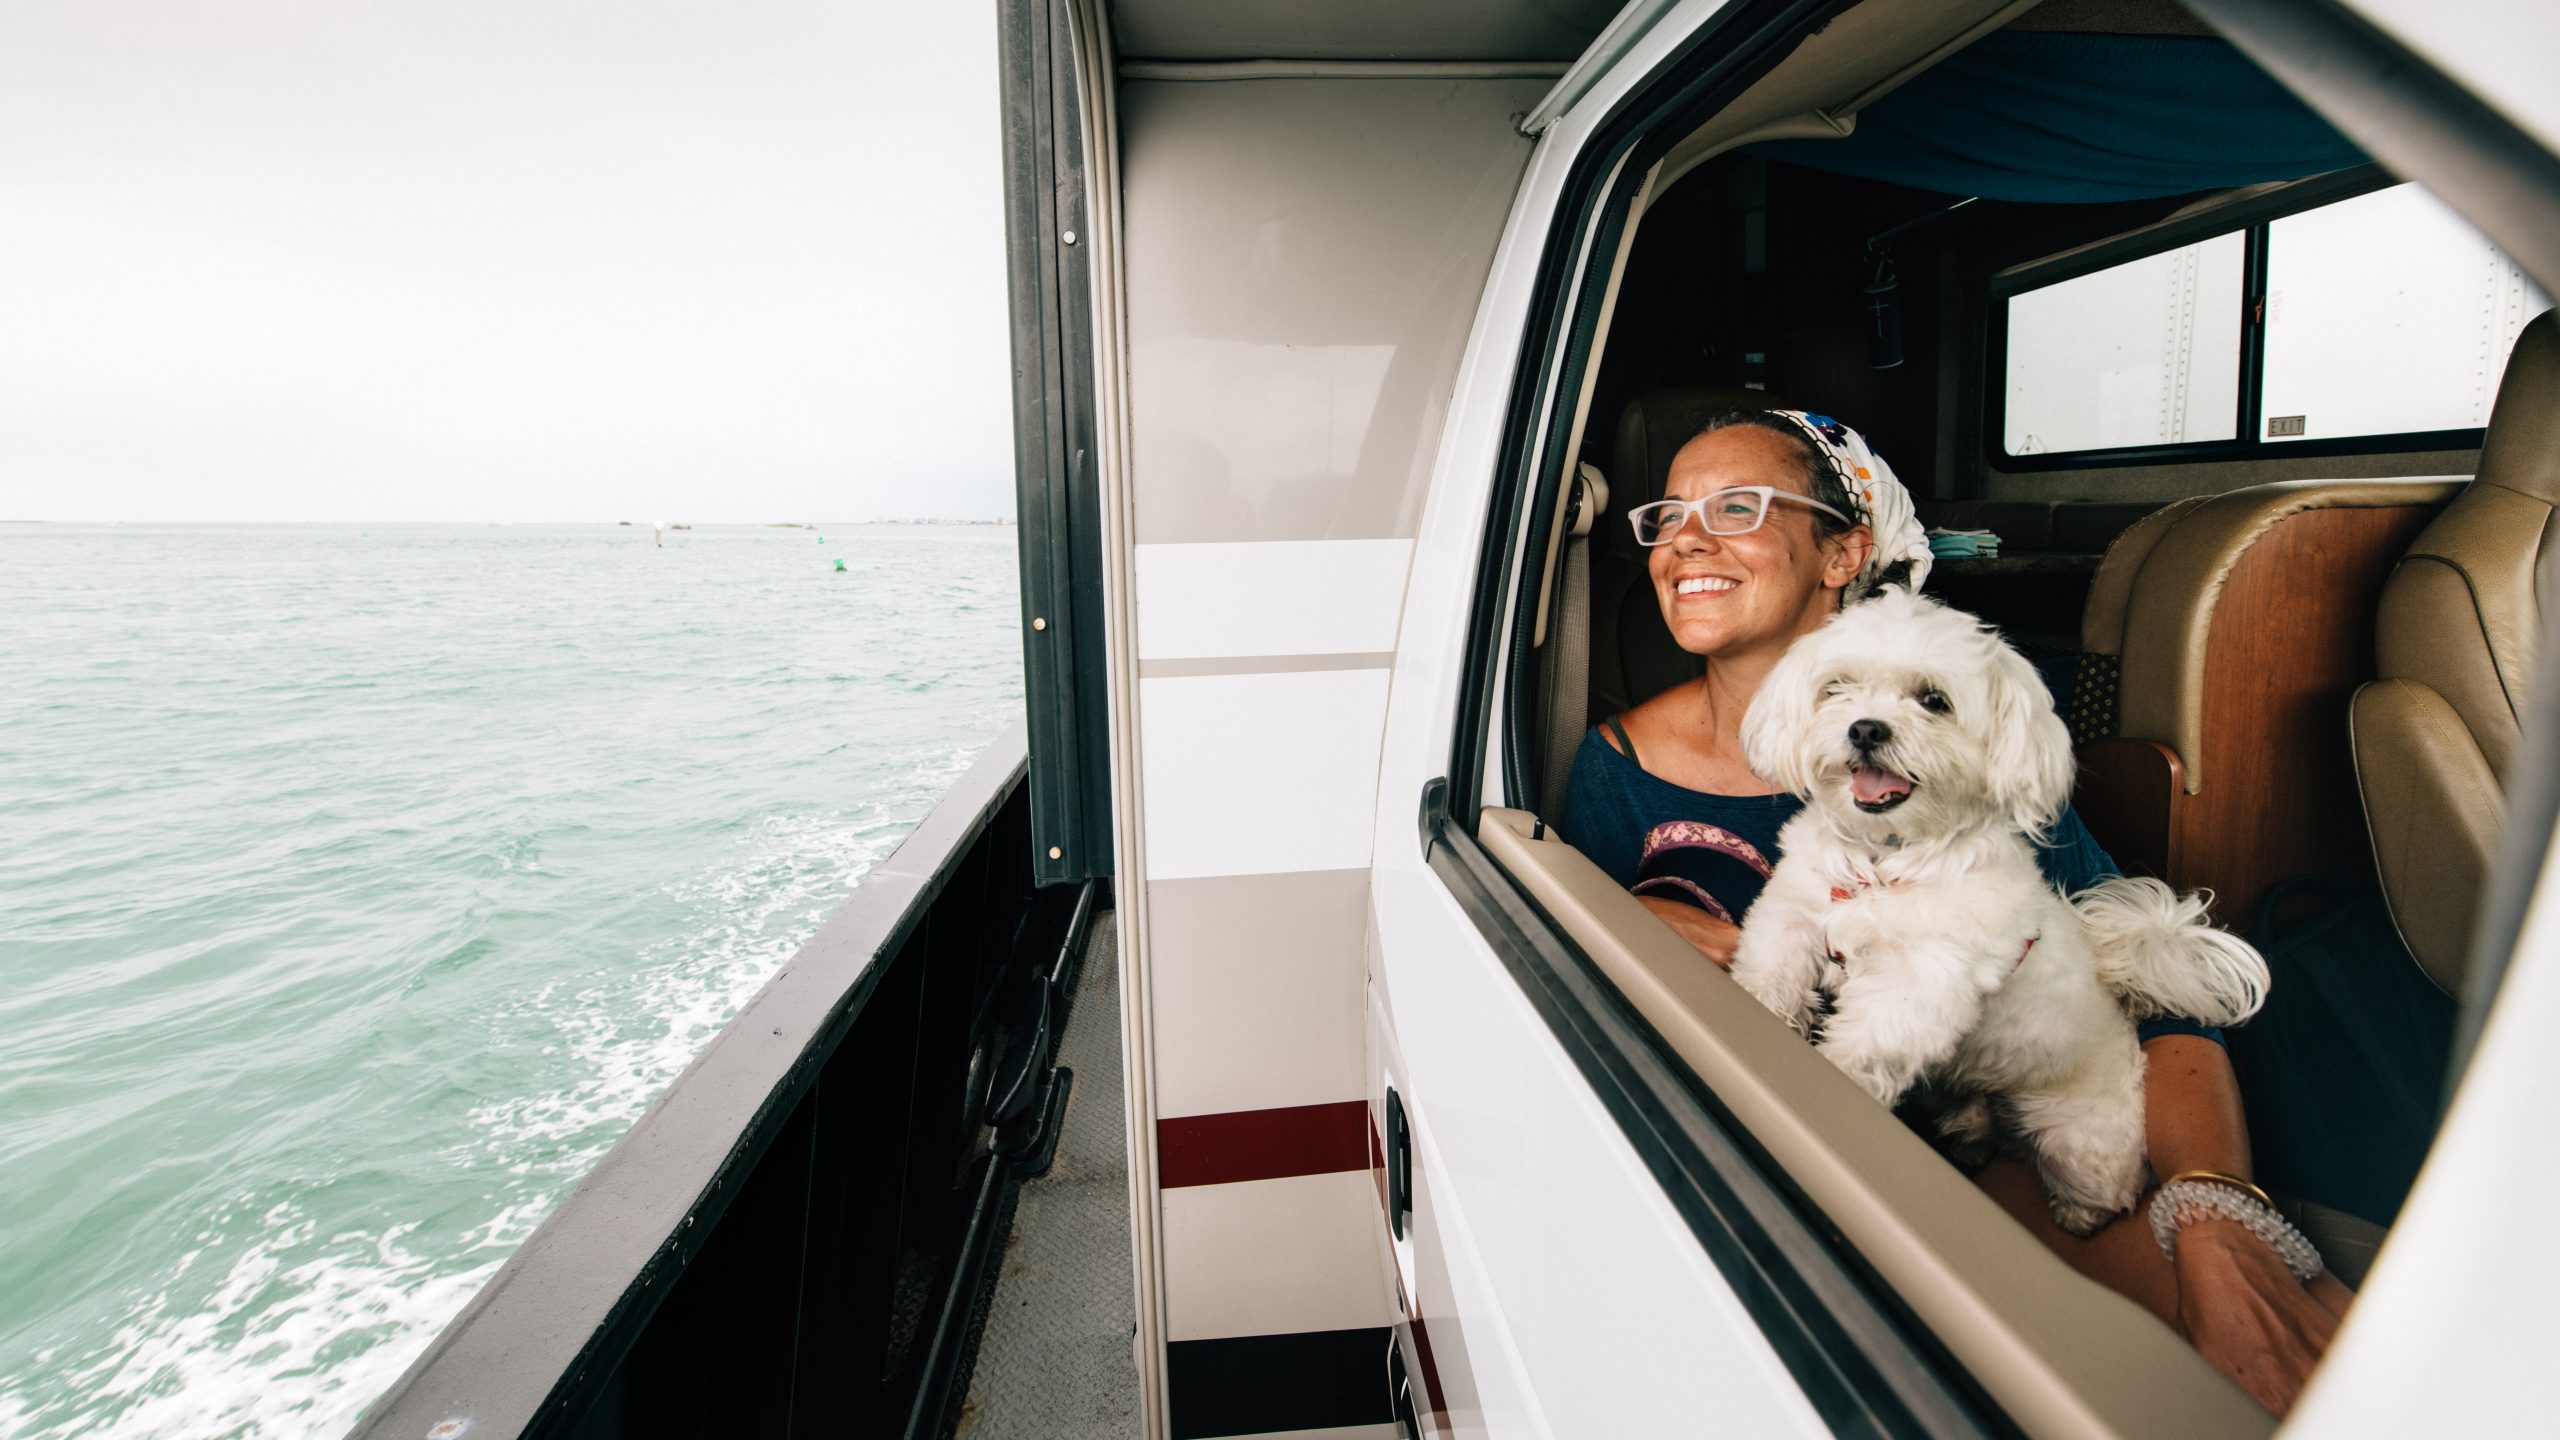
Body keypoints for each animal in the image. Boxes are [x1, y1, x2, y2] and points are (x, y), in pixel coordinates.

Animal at [1740, 589, 2263, 1229]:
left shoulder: (1921, 981)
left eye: (1934, 700)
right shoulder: (1792, 916)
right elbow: (1769, 975)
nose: (1864, 728)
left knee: (2104, 1187)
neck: (1885, 862)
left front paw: (1831, 1081)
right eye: (1837, 688)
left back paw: (2076, 1215)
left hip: (2079, 1142)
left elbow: (1867, 1048)